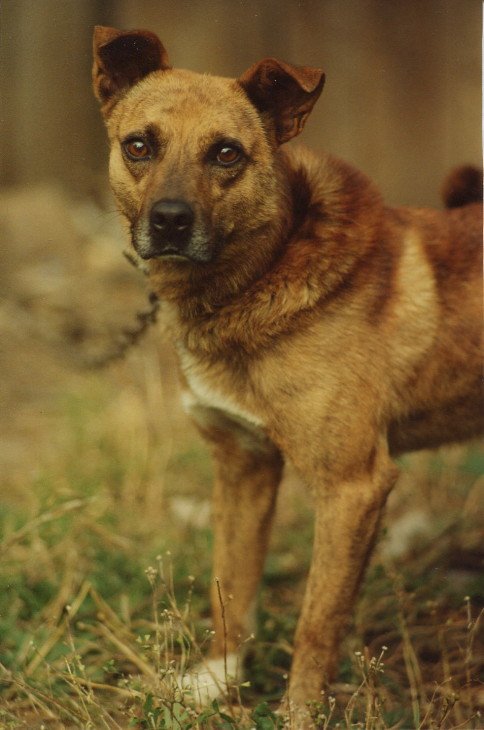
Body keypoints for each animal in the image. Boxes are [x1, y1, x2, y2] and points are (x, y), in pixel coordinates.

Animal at [92, 25, 482, 720]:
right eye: (139, 145)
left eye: (226, 154)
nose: (169, 221)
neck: (254, 282)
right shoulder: (242, 465)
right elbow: (231, 586)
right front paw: (216, 684)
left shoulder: (353, 487)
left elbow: (316, 620)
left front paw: (299, 713)